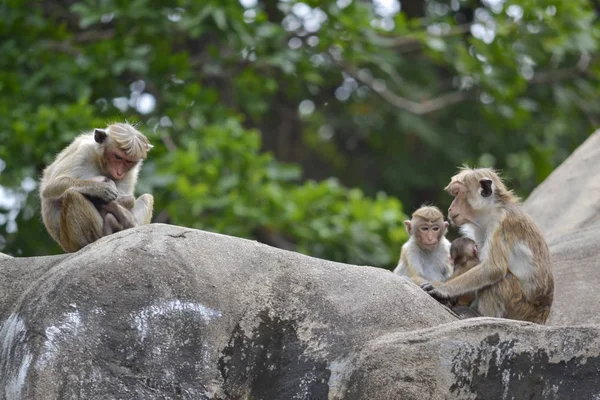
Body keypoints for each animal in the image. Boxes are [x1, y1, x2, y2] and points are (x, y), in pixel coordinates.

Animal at [40, 123, 155, 252]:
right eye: (118, 157)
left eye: (129, 162)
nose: (119, 173)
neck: (100, 161)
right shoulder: (83, 151)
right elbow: (51, 187)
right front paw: (99, 189)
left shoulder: (131, 171)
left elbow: (128, 199)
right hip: (71, 240)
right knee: (72, 195)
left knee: (146, 197)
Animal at [422, 167, 552, 324]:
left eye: (457, 193)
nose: (450, 208)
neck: (491, 210)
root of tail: (541, 316)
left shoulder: (501, 224)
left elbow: (493, 269)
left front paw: (442, 288)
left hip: (519, 309)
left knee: (499, 279)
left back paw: (483, 316)